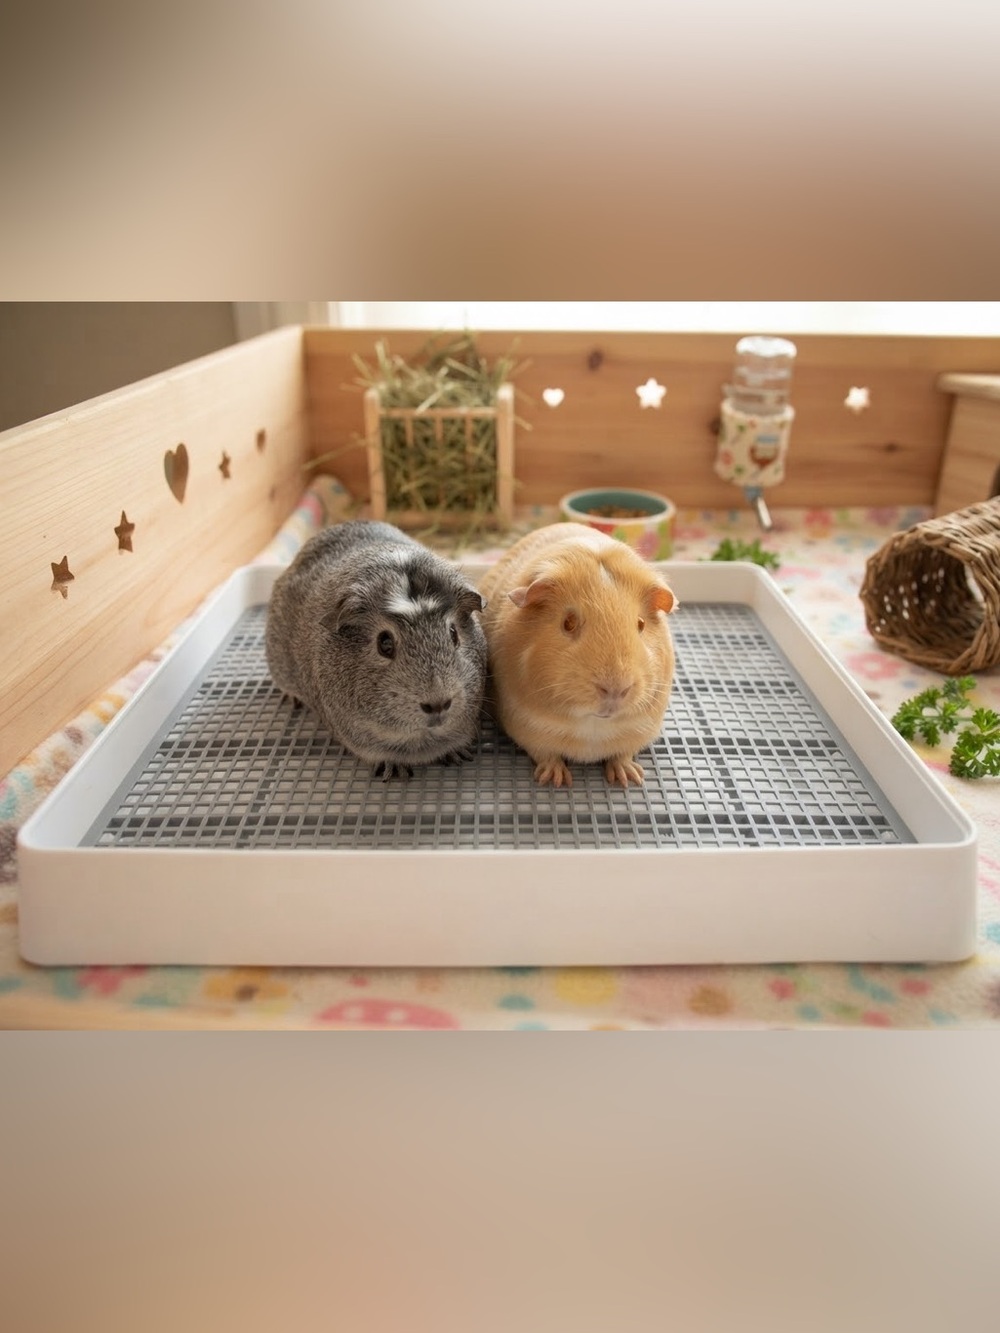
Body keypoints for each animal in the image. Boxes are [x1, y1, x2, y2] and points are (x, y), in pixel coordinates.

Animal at [479, 522, 677, 788]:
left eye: (641, 624)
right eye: (568, 623)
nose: (616, 690)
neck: (592, 726)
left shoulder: (641, 729)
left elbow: (622, 755)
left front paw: (629, 778)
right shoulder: (527, 726)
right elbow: (546, 754)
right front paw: (555, 780)